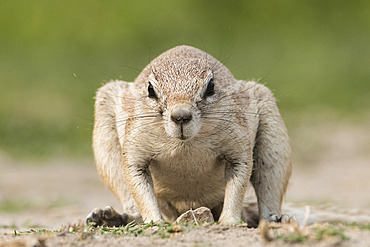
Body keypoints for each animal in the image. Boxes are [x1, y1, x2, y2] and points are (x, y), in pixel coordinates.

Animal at [86, 45, 292, 227]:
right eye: (150, 89)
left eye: (211, 86)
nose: (181, 116)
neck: (185, 146)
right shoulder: (135, 146)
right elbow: (137, 183)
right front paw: (155, 222)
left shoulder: (238, 143)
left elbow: (239, 180)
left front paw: (229, 221)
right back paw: (112, 217)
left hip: (274, 143)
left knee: (268, 187)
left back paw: (275, 220)